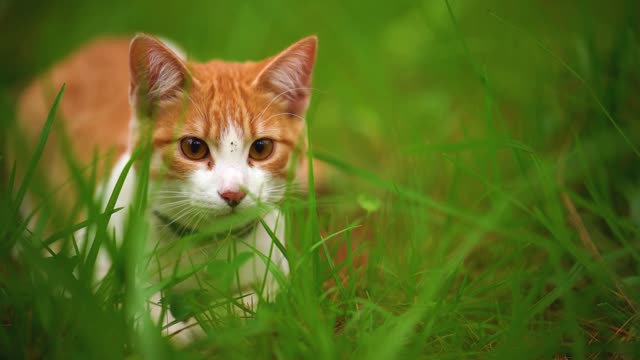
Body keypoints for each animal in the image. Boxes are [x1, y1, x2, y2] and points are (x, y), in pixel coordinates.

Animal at [12, 33, 318, 340]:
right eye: (193, 147)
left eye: (261, 148)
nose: (233, 193)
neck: (204, 246)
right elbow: (115, 302)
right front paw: (174, 329)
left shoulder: (279, 267)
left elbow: (260, 301)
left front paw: (217, 318)